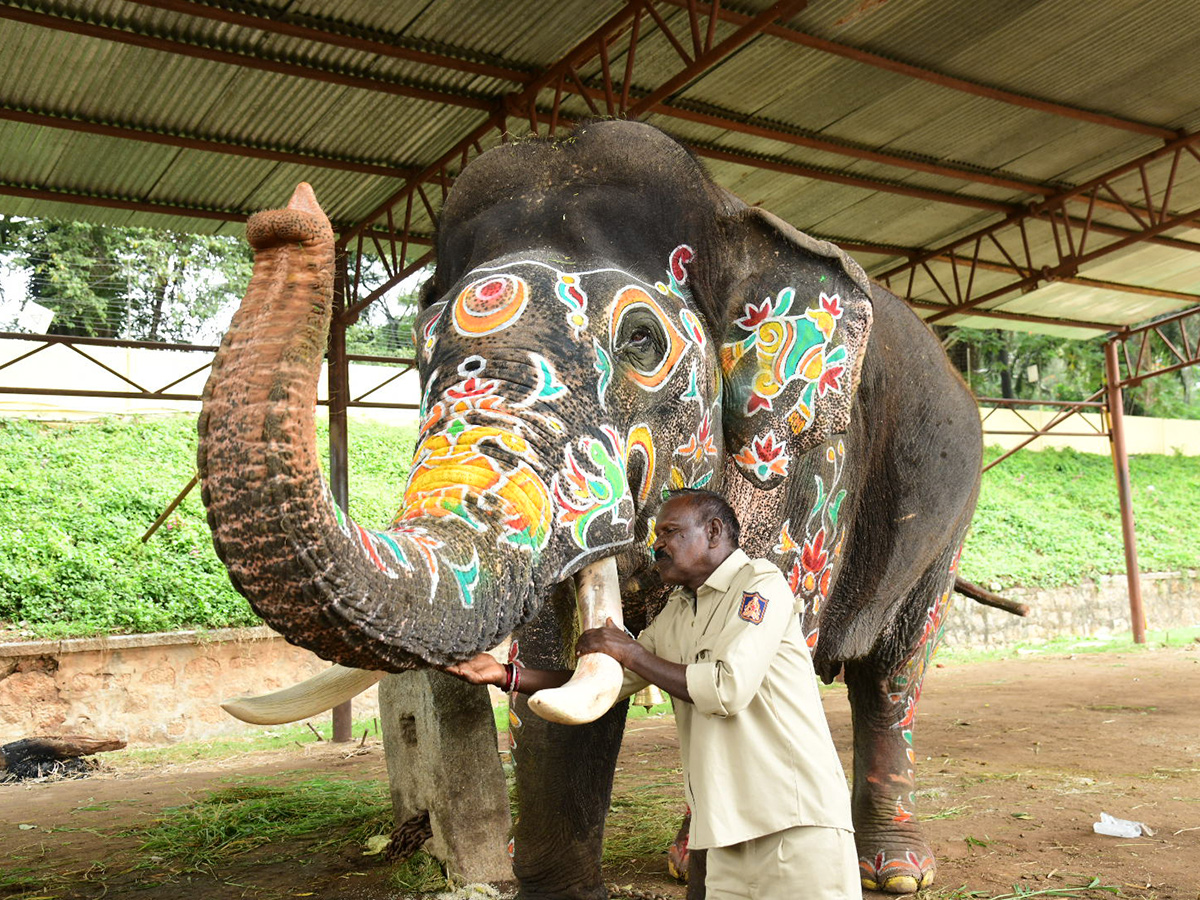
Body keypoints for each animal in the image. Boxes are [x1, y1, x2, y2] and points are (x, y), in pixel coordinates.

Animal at [198, 119, 981, 898]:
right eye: (420, 352)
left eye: (641, 339)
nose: (283, 217)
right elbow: (557, 692)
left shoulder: (813, 472)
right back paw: (685, 854)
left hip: (949, 523)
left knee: (895, 672)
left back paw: (897, 870)